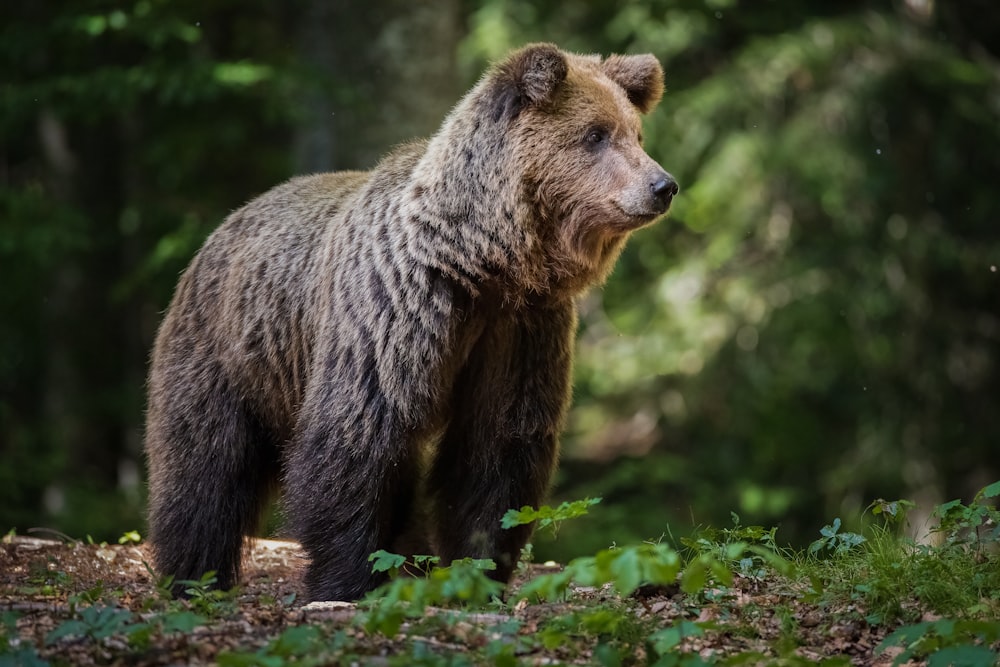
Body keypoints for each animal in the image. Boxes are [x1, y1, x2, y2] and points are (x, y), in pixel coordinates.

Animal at [146, 44, 680, 604]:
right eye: (596, 134)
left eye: (636, 133)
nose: (663, 185)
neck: (481, 261)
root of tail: (225, 224)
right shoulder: (395, 313)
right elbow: (355, 438)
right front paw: (344, 582)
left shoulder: (520, 329)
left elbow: (498, 449)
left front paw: (477, 570)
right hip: (227, 355)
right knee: (205, 466)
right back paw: (193, 574)